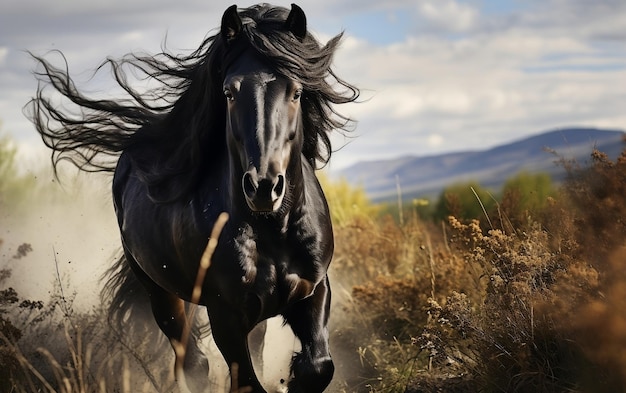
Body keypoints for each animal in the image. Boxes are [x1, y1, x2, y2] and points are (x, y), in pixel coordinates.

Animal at [28, 3, 356, 392]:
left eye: (296, 92)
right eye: (229, 92)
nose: (263, 187)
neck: (273, 231)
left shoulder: (314, 291)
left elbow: (317, 366)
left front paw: (289, 378)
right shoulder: (225, 315)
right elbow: (246, 381)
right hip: (161, 294)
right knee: (192, 361)